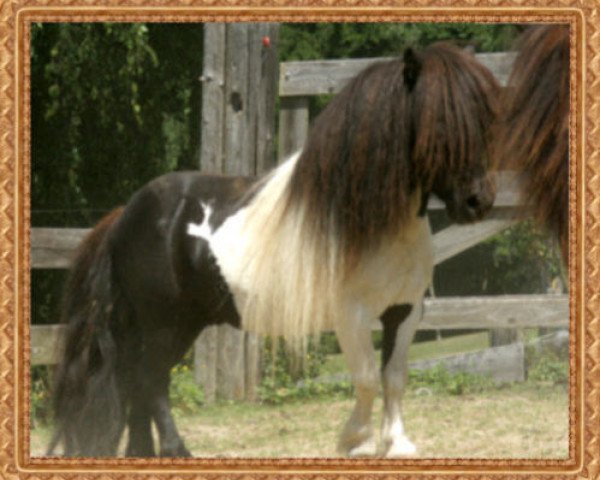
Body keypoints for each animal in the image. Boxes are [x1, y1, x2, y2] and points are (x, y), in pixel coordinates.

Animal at [47, 43, 500, 460]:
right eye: (439, 121)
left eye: (484, 120)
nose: (478, 202)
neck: (373, 223)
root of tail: (127, 213)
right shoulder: (351, 315)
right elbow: (368, 376)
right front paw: (356, 442)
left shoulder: (405, 311)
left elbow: (394, 377)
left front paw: (398, 444)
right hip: (165, 322)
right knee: (151, 379)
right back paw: (176, 450)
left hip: (170, 323)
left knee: (135, 381)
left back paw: (143, 452)